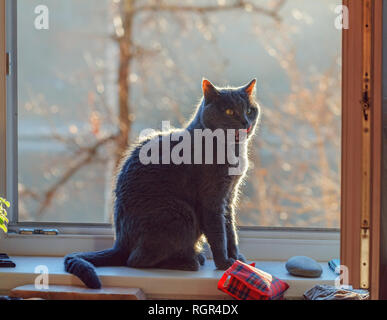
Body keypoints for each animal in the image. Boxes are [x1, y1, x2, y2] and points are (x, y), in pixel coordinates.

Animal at [65, 79, 262, 288]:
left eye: (250, 110)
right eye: (229, 111)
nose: (246, 123)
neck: (233, 151)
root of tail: (120, 242)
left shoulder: (229, 197)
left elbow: (230, 231)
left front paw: (238, 259)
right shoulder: (212, 200)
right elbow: (218, 234)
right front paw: (224, 263)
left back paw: (194, 257)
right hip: (180, 213)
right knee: (135, 260)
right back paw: (188, 262)